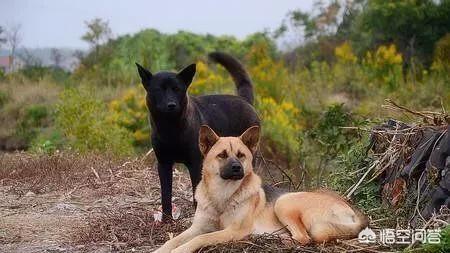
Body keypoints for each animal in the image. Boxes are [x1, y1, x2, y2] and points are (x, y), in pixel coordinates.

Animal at [135, 52, 258, 219]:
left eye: (177, 89)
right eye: (158, 89)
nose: (171, 105)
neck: (171, 130)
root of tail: (244, 100)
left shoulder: (195, 163)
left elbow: (195, 194)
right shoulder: (164, 164)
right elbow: (165, 195)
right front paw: (166, 219)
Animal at [155, 125, 370, 252]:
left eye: (241, 155)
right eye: (222, 155)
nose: (237, 168)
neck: (222, 196)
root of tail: (353, 210)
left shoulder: (233, 230)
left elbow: (201, 239)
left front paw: (181, 249)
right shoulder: (197, 227)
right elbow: (172, 240)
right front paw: (162, 249)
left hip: (284, 202)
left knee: (304, 238)